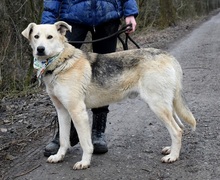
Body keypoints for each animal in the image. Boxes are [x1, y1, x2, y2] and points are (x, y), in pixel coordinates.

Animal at [21, 21, 196, 169]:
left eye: (50, 37)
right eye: (36, 36)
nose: (40, 49)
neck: (61, 63)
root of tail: (167, 55)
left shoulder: (78, 111)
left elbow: (85, 143)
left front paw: (85, 162)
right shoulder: (63, 111)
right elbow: (64, 140)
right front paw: (59, 156)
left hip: (158, 105)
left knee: (176, 131)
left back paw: (173, 156)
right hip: (166, 105)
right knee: (180, 127)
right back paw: (171, 150)